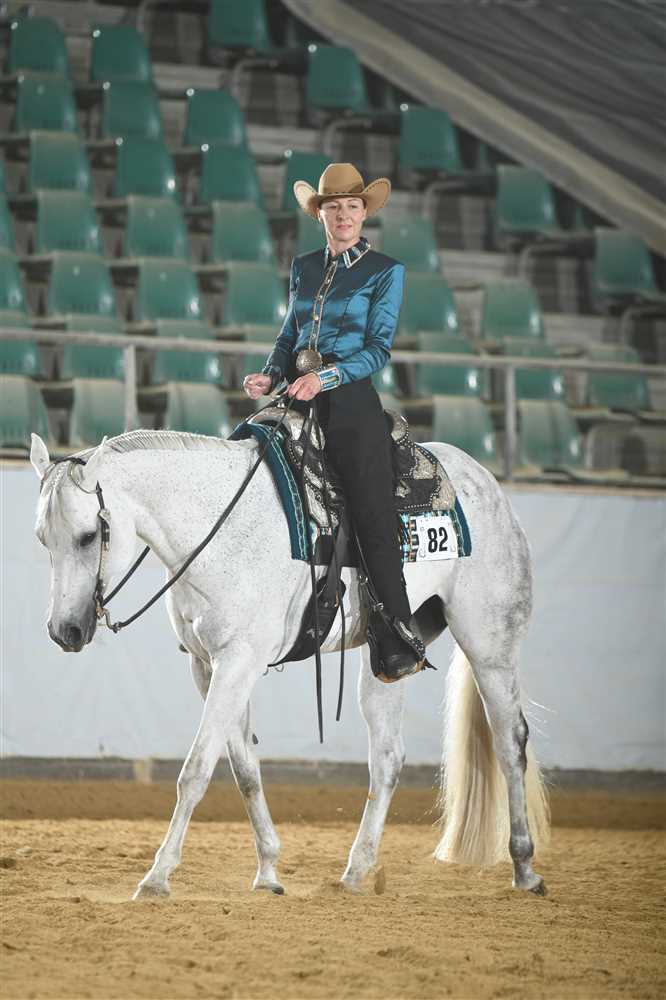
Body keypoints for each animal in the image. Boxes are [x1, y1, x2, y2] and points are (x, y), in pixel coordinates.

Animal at [29, 428, 550, 900]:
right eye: (43, 540)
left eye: (88, 536)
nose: (64, 631)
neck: (221, 530)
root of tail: (485, 482)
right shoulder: (209, 665)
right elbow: (244, 770)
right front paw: (268, 872)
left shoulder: (238, 661)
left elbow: (196, 769)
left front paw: (157, 877)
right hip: (387, 659)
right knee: (387, 758)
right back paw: (356, 872)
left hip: (490, 645)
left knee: (510, 742)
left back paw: (524, 867)